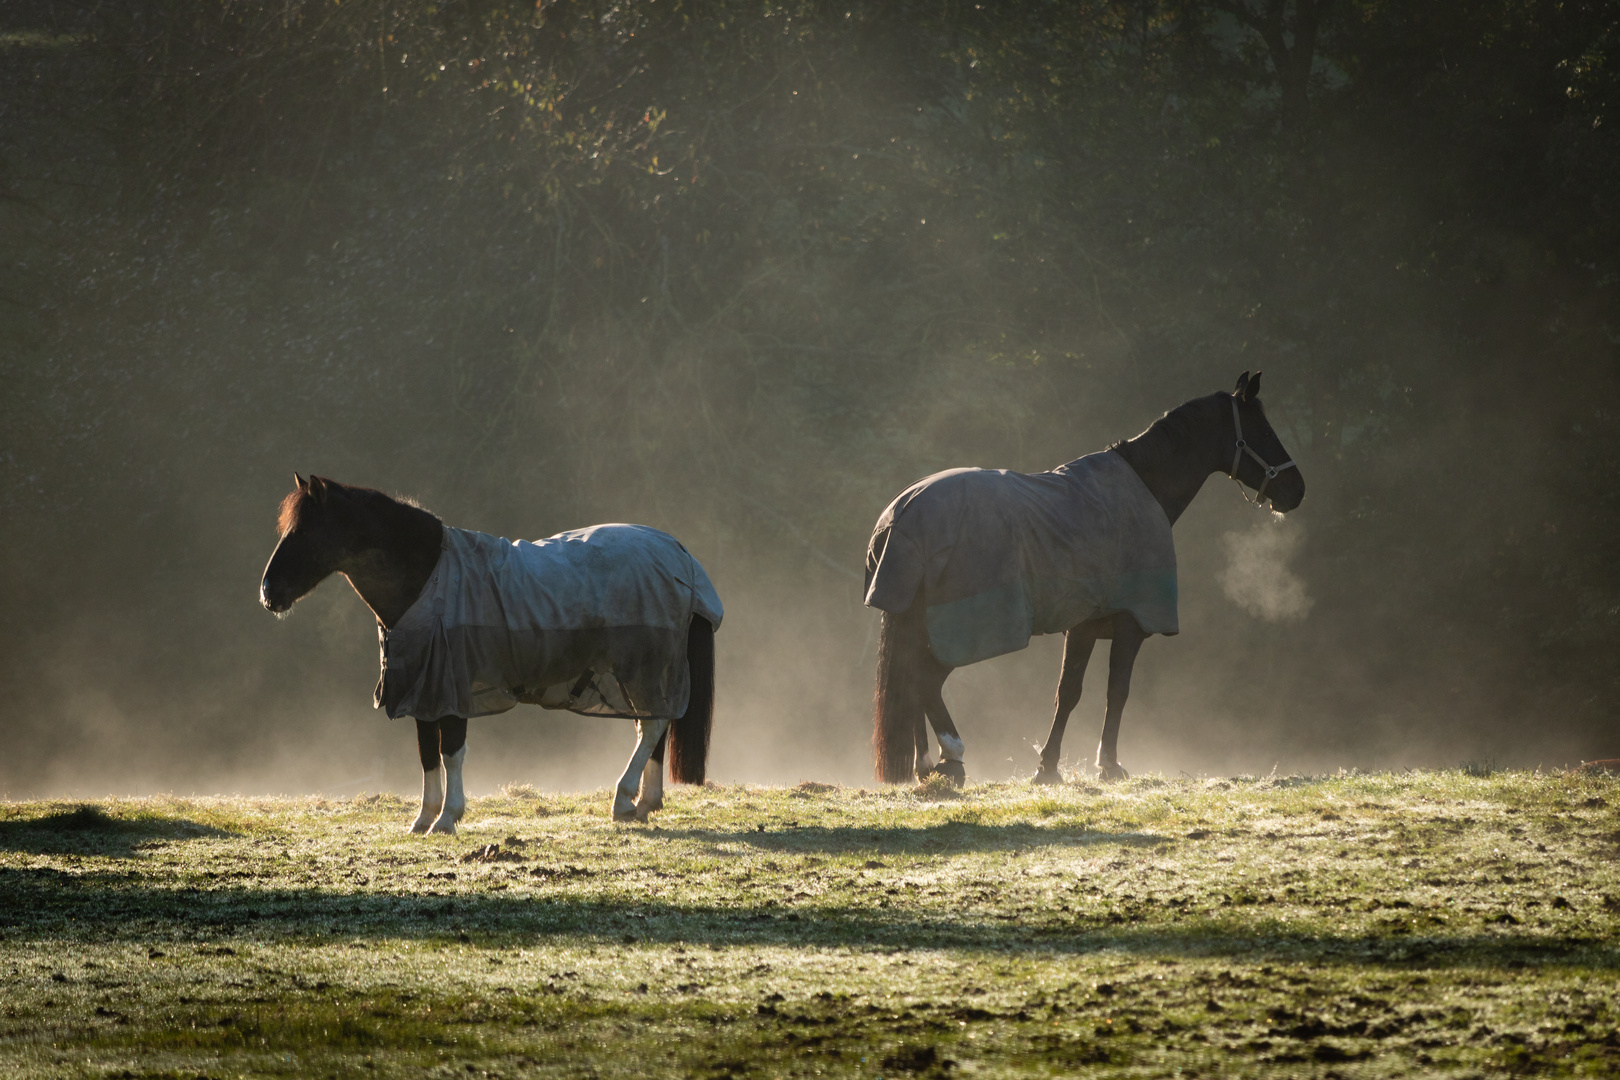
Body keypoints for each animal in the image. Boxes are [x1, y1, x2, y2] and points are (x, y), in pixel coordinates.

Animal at [260, 476, 722, 835]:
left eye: (304, 532)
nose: (268, 593)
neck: (430, 577)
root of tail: (679, 553)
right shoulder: (424, 691)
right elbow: (427, 754)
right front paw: (423, 819)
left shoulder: (451, 686)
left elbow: (451, 752)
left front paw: (448, 817)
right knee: (654, 724)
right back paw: (644, 803)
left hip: (643, 664)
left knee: (654, 724)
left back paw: (625, 798)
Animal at [861, 372, 1302, 786]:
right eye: (1263, 431)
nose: (1297, 489)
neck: (1141, 489)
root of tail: (903, 515)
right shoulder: (1123, 622)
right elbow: (1104, 692)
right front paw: (1095, 764)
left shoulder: (1088, 623)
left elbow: (1076, 693)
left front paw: (1057, 765)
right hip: (959, 631)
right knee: (925, 681)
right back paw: (951, 756)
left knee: (912, 682)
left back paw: (926, 764)